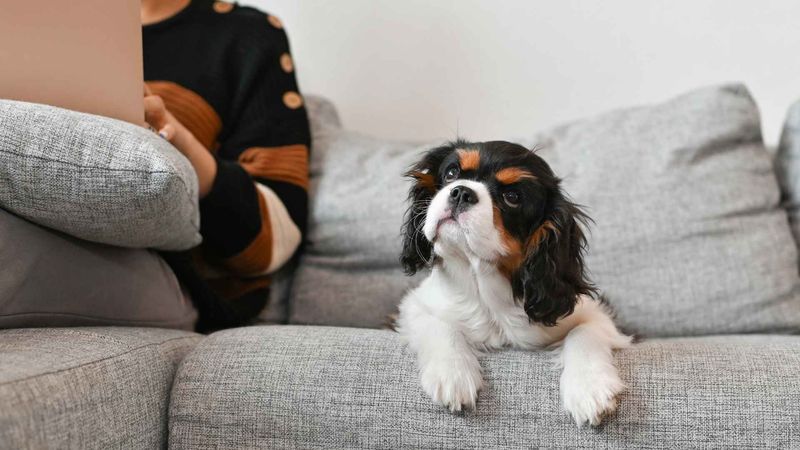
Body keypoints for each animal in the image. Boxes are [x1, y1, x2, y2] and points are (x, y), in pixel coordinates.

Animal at [396, 140, 632, 426]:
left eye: (512, 198)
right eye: (452, 173)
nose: (461, 192)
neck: (482, 280)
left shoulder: (597, 313)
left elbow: (584, 332)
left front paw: (590, 388)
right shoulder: (414, 305)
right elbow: (439, 325)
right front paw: (453, 375)